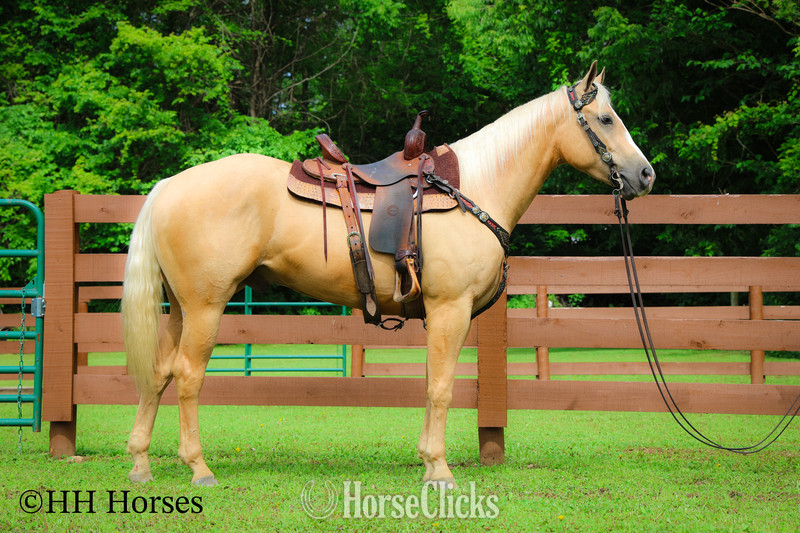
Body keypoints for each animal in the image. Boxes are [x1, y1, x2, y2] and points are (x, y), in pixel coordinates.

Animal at [122, 62, 655, 487]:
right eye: (605, 119)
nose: (646, 175)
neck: (476, 188)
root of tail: (170, 184)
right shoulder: (450, 309)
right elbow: (441, 387)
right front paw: (440, 471)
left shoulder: (439, 317)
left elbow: (431, 383)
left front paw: (427, 460)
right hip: (205, 307)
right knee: (188, 375)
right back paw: (199, 468)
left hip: (179, 310)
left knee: (160, 373)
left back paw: (141, 464)